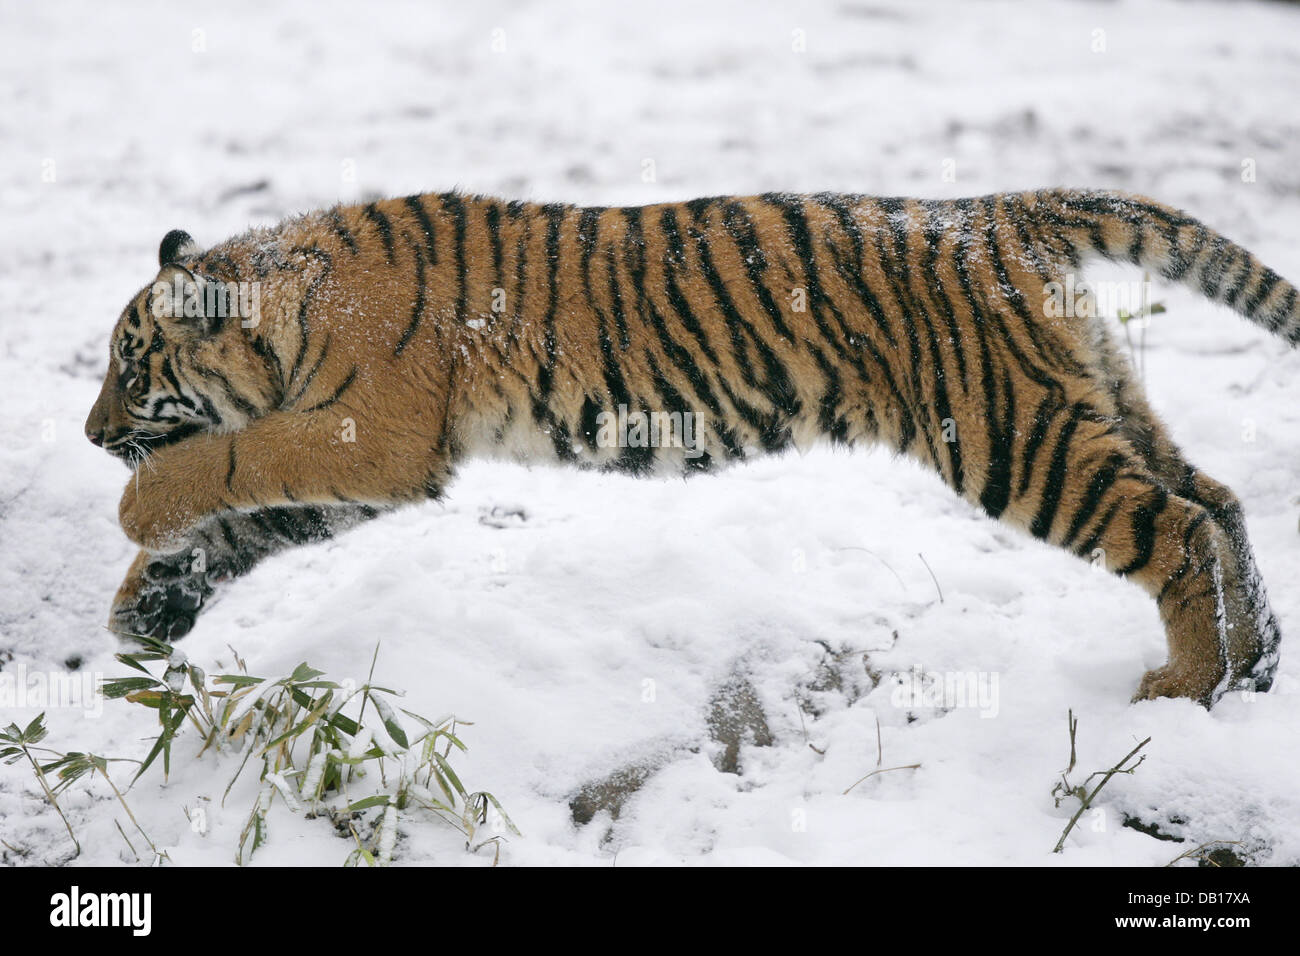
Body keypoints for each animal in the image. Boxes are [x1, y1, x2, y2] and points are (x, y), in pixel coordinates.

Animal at [83, 188, 1289, 712]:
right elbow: (246, 525)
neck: (285, 307)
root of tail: (1002, 212)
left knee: (1175, 526)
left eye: (130, 369)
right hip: (1081, 392)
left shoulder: (367, 435)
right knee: (1219, 498)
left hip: (1010, 433)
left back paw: (1184, 685)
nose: (92, 436)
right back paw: (1256, 662)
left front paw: (137, 515)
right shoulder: (361, 469)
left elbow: (223, 467)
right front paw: (150, 609)